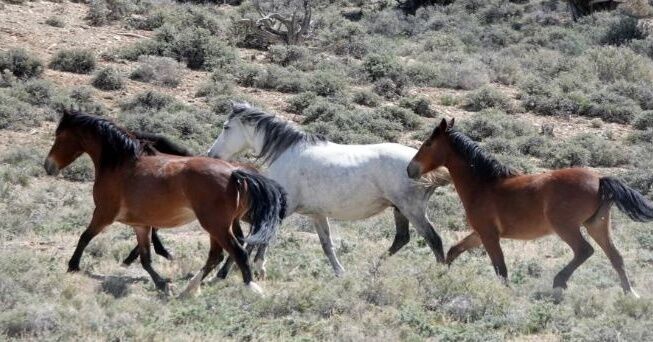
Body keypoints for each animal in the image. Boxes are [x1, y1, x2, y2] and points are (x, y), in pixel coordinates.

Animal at [42, 110, 284, 296]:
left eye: (59, 135)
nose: (48, 166)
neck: (119, 164)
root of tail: (235, 173)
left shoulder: (103, 214)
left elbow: (85, 237)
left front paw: (72, 265)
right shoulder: (140, 225)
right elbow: (146, 258)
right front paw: (162, 284)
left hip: (216, 225)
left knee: (235, 252)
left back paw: (250, 287)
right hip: (220, 225)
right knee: (219, 254)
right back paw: (190, 288)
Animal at [208, 103, 448, 276]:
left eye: (226, 127)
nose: (212, 155)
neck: (287, 153)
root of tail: (423, 165)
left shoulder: (281, 208)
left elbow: (255, 239)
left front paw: (225, 274)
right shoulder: (317, 214)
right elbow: (326, 245)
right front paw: (340, 273)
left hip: (412, 209)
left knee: (433, 240)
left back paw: (439, 275)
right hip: (400, 209)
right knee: (402, 238)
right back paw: (373, 268)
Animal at [408, 119, 652, 296]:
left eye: (428, 143)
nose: (411, 169)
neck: (483, 184)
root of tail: (600, 179)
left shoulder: (489, 235)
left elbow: (501, 269)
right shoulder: (480, 234)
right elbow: (454, 250)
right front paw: (440, 276)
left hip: (566, 227)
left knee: (585, 251)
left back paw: (559, 282)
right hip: (597, 226)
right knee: (616, 258)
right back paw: (630, 295)